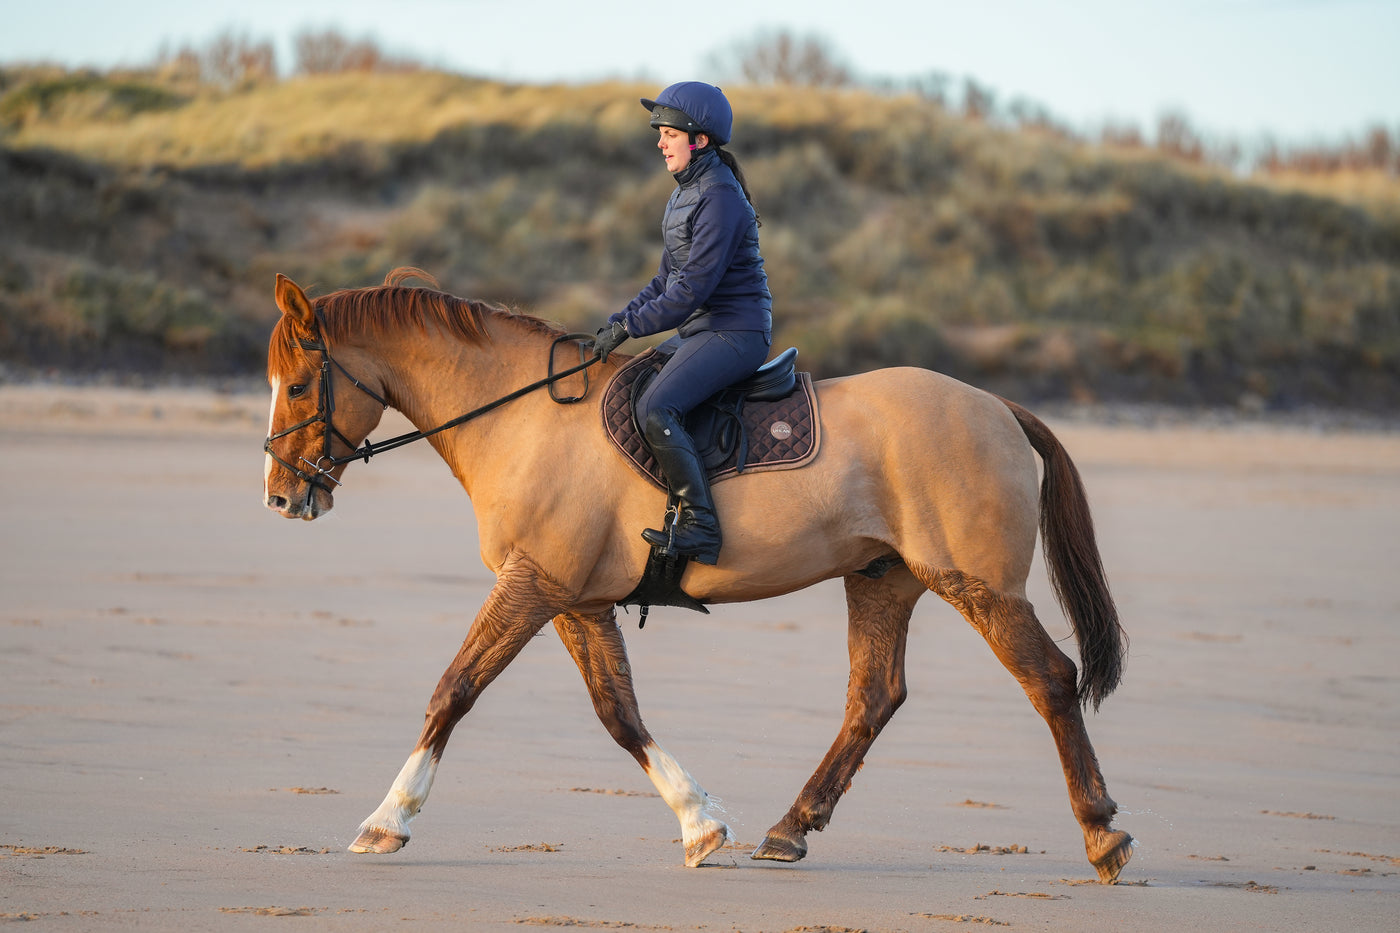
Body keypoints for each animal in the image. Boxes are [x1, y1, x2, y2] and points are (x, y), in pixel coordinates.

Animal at [263, 267, 1131, 879]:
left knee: (1050, 679)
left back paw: (1101, 831)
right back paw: (790, 828)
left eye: (299, 385)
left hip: (979, 587)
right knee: (874, 696)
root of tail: (997, 406)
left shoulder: (534, 584)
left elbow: (454, 689)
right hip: (884, 577)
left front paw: (388, 818)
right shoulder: (575, 600)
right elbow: (619, 712)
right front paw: (699, 820)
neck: (522, 416)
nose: (279, 496)